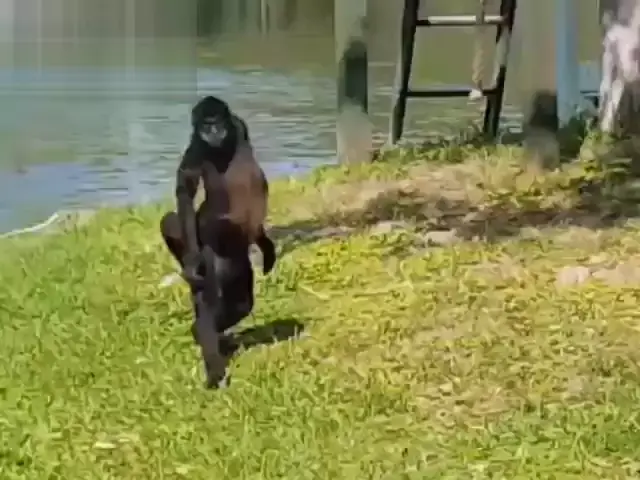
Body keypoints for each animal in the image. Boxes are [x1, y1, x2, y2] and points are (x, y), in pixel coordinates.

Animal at [159, 95, 276, 388]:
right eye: (206, 125)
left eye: (218, 121)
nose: (214, 132)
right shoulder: (197, 146)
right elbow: (185, 191)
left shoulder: (238, 123)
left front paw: (267, 246)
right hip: (212, 255)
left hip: (237, 264)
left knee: (241, 303)